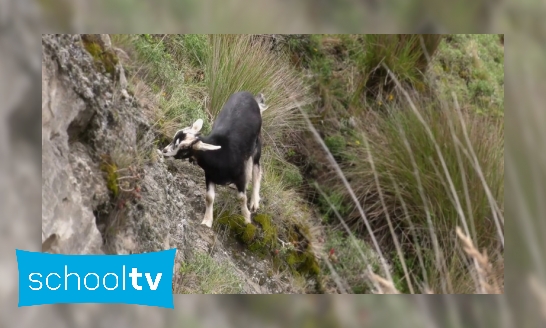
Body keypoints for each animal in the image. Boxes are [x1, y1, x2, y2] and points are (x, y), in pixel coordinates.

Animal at [160, 91, 268, 227]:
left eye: (184, 148)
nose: (164, 151)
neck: (220, 153)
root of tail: (250, 96)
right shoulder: (209, 175)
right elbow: (209, 197)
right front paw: (207, 221)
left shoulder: (239, 176)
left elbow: (241, 197)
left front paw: (247, 219)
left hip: (257, 144)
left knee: (256, 169)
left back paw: (254, 202)